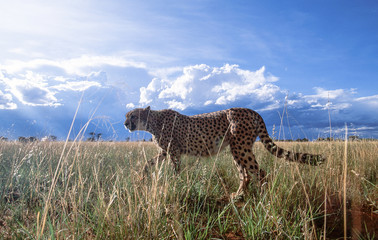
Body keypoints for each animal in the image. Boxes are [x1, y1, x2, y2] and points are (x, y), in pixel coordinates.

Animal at [125, 107, 324, 199]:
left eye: (133, 115)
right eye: (127, 116)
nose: (125, 124)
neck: (153, 122)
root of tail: (252, 110)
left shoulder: (174, 153)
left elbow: (176, 171)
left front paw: (175, 185)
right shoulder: (165, 152)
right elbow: (148, 163)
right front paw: (142, 176)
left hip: (240, 148)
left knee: (259, 172)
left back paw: (264, 199)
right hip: (237, 149)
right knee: (245, 175)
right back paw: (238, 196)